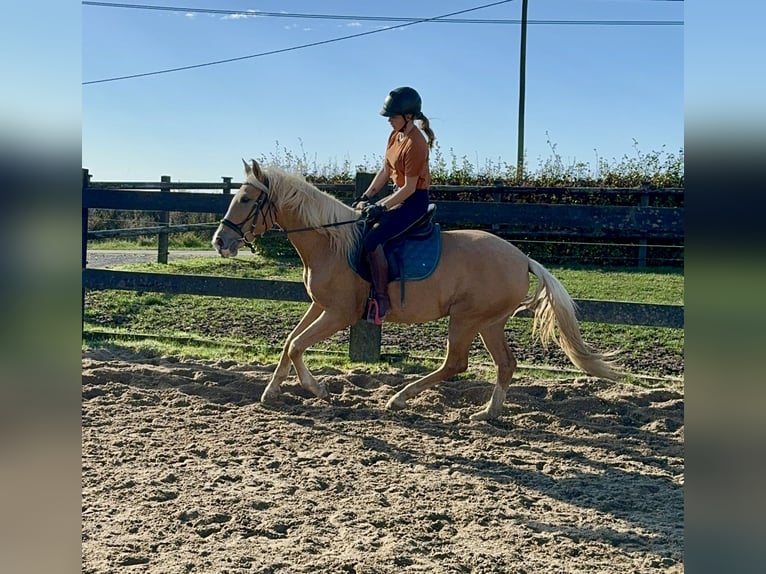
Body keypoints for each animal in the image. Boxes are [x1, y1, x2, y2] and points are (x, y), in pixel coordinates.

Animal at [213, 160, 620, 420]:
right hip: (489, 323)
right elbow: (289, 343)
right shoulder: (319, 306)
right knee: (505, 364)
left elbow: (297, 345)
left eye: (246, 199)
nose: (220, 241)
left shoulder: (339, 313)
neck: (332, 243)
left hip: (467, 319)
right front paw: (271, 392)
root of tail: (523, 259)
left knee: (456, 363)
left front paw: (318, 390)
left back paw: (400, 399)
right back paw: (487, 413)